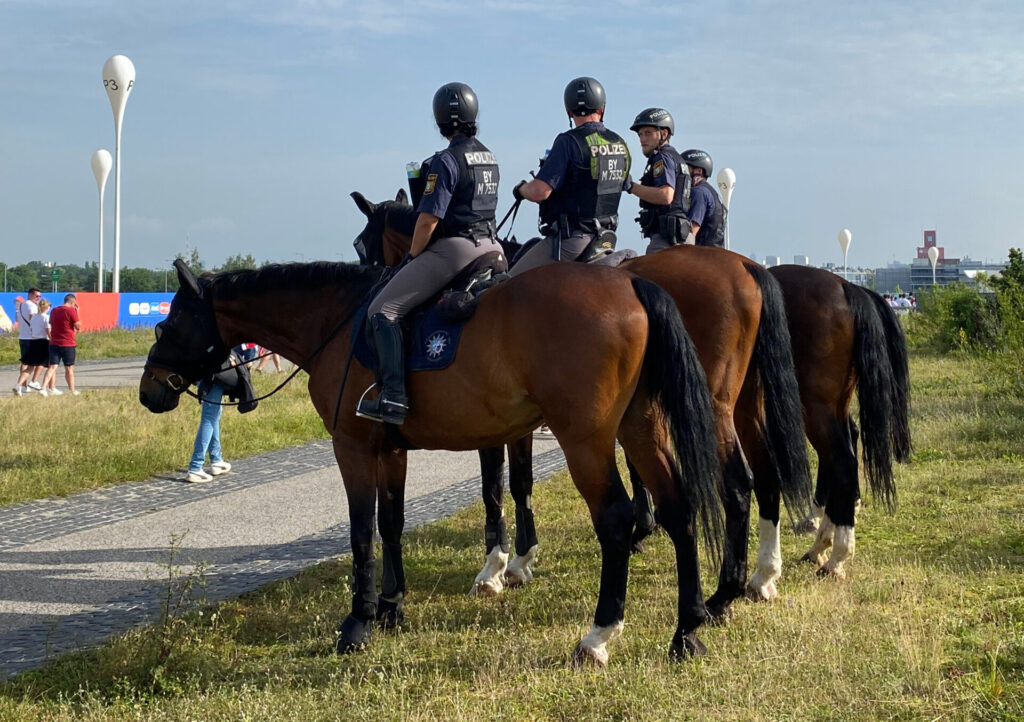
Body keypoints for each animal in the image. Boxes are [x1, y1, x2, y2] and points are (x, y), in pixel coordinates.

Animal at [140, 256, 724, 663]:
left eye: (167, 326)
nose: (150, 391)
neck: (339, 321)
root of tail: (629, 283)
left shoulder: (352, 446)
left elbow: (361, 530)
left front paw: (359, 622)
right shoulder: (391, 448)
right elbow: (392, 524)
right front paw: (392, 608)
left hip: (587, 440)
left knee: (616, 521)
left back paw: (599, 635)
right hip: (640, 427)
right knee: (678, 508)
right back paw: (687, 629)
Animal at [352, 192, 815, 618]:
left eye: (360, 244)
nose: (380, 279)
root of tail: (746, 266)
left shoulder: (504, 426)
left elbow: (501, 487)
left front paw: (500, 567)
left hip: (714, 408)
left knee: (736, 484)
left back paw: (724, 591)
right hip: (741, 404)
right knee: (764, 473)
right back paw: (761, 576)